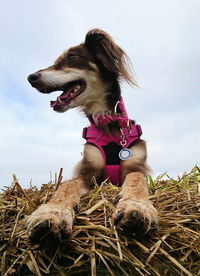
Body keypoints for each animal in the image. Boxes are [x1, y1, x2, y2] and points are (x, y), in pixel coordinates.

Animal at [27, 29, 158, 246]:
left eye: (72, 57)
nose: (31, 77)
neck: (109, 124)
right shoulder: (86, 172)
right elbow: (67, 185)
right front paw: (52, 213)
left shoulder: (136, 165)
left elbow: (136, 179)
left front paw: (137, 207)